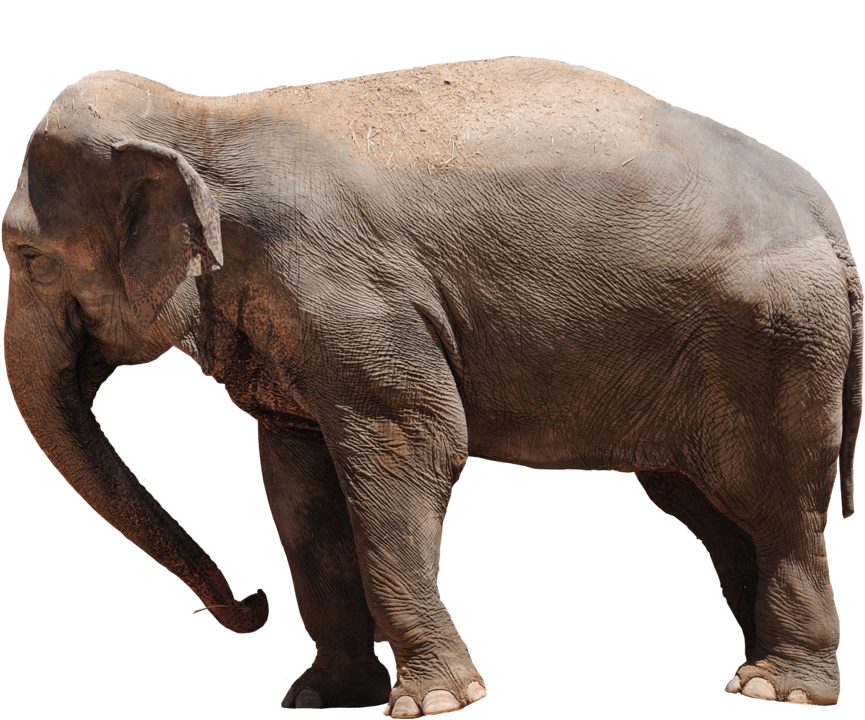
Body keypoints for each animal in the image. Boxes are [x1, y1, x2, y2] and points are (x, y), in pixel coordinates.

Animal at [3, 57, 860, 712]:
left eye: (28, 260)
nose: (249, 606)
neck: (199, 120)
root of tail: (821, 204)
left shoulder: (352, 294)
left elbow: (410, 451)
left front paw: (433, 702)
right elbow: (297, 489)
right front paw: (318, 697)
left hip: (776, 336)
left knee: (773, 500)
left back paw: (778, 691)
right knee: (707, 507)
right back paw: (750, 670)